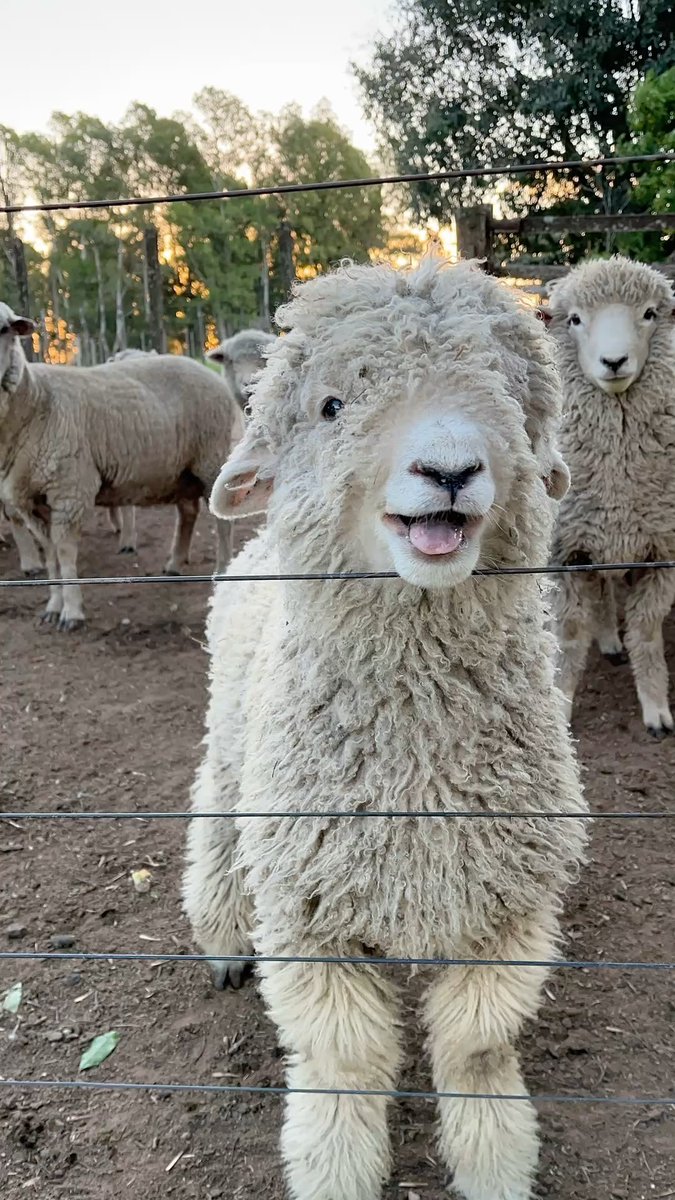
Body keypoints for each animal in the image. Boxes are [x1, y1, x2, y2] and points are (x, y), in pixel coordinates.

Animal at [0, 303, 245, 629]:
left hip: (211, 457)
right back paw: (175, 563)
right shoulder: (28, 500)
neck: (37, 401)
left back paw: (223, 571)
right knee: (188, 513)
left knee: (222, 522)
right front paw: (53, 607)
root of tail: (208, 371)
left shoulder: (70, 490)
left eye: (4, 329)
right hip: (182, 470)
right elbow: (50, 556)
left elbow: (64, 554)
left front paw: (71, 611)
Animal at [182, 256, 587, 1200]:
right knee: (213, 824)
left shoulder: (505, 909)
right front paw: (334, 1167)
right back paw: (220, 938)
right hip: (233, 746)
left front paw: (493, 1162)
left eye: (510, 397)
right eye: (332, 405)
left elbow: (476, 1048)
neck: (414, 765)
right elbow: (343, 1059)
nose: (449, 468)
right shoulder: (307, 915)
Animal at [541, 256, 675, 737]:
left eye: (650, 313)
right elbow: (568, 639)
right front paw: (561, 706)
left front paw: (656, 707)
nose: (614, 361)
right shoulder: (565, 557)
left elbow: (647, 634)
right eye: (575, 319)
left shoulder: (661, 556)